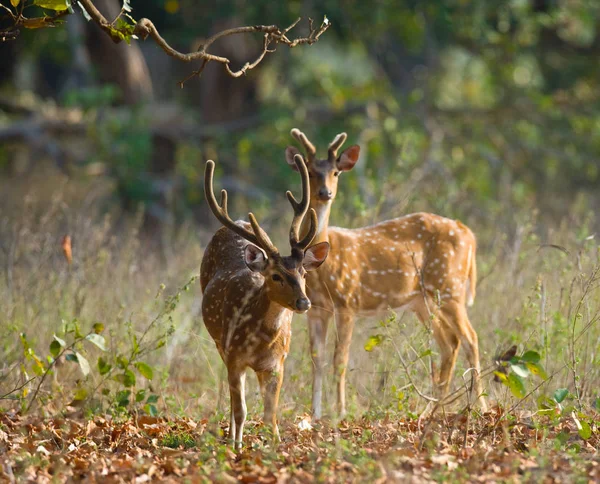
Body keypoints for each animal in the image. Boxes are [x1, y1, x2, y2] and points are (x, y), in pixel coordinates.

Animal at [200, 155, 328, 450]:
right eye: (276, 276)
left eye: (304, 273)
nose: (303, 302)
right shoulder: (234, 355)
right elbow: (241, 409)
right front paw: (236, 447)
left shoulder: (277, 363)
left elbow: (271, 413)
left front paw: (276, 446)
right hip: (220, 343)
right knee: (235, 400)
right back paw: (232, 437)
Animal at [286, 129, 488, 420]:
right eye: (311, 172)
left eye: (336, 172)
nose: (326, 193)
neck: (323, 264)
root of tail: (468, 233)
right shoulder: (317, 309)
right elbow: (317, 361)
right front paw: (315, 415)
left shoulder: (348, 301)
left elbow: (340, 360)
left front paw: (341, 412)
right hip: (423, 300)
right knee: (449, 343)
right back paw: (431, 410)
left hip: (450, 287)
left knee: (470, 338)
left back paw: (480, 407)